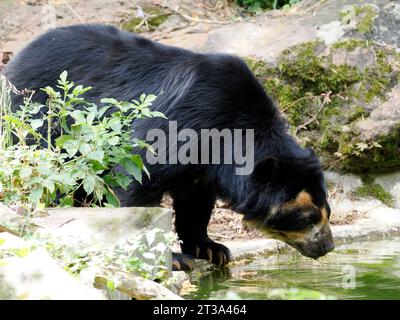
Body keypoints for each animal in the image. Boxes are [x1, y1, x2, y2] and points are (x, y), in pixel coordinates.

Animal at [3, 24, 334, 270]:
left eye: (327, 211)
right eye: (306, 217)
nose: (328, 246)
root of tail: (16, 59)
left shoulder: (205, 166)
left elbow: (195, 203)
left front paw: (211, 249)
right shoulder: (183, 122)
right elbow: (138, 177)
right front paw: (173, 259)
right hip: (40, 115)